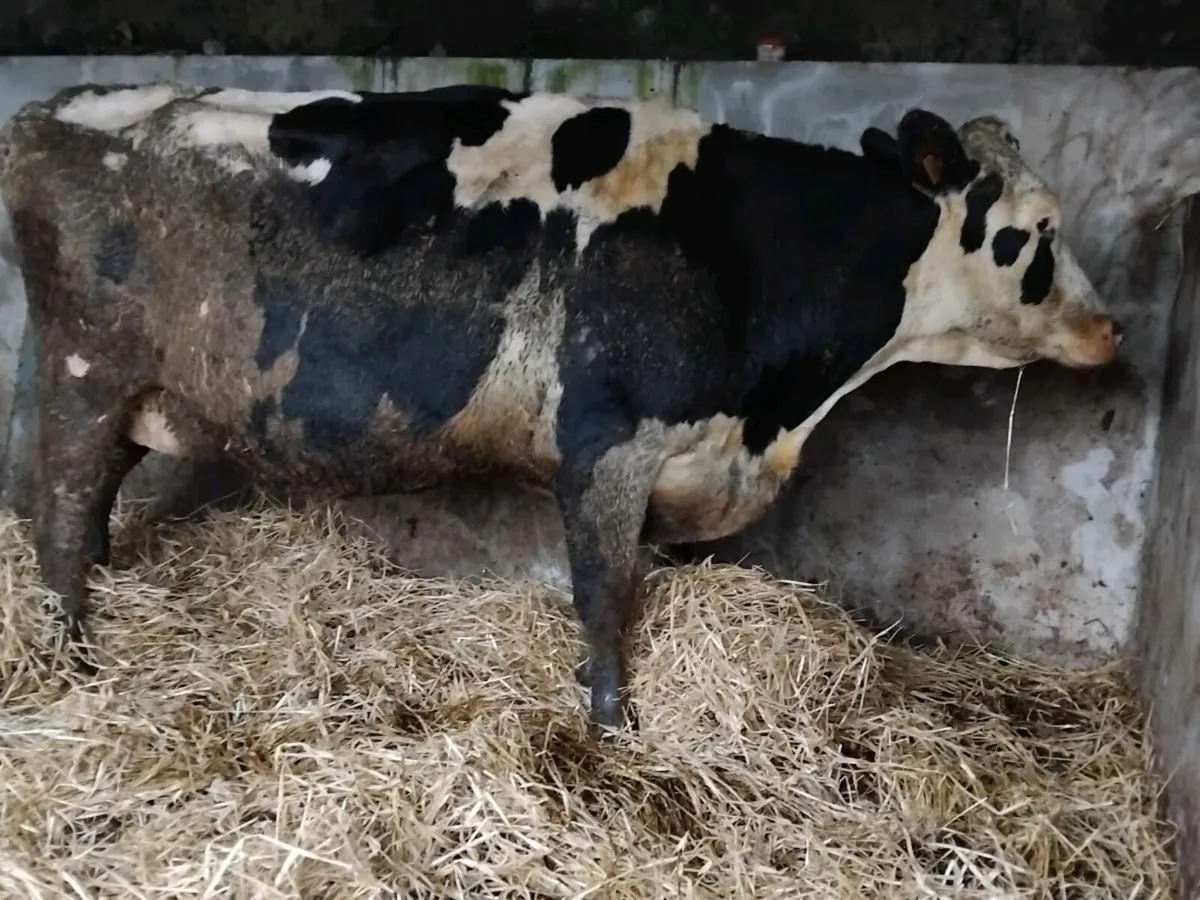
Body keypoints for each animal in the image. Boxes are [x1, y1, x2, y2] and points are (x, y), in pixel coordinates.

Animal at [0, 81, 1122, 737]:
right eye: (1038, 230)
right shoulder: (604, 443)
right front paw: (612, 728)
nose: (1113, 329)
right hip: (85, 370)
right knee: (60, 513)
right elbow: (603, 596)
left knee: (89, 513)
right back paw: (69, 651)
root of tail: (70, 103)